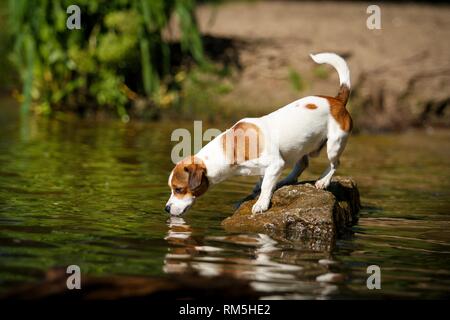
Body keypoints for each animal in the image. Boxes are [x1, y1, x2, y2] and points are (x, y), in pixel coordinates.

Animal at [165, 52, 352, 216]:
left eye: (179, 189)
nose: (166, 209)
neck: (231, 147)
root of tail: (337, 100)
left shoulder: (275, 163)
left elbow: (266, 186)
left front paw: (261, 203)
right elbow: (263, 181)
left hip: (334, 145)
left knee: (335, 163)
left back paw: (323, 180)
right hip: (300, 147)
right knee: (302, 163)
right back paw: (287, 180)